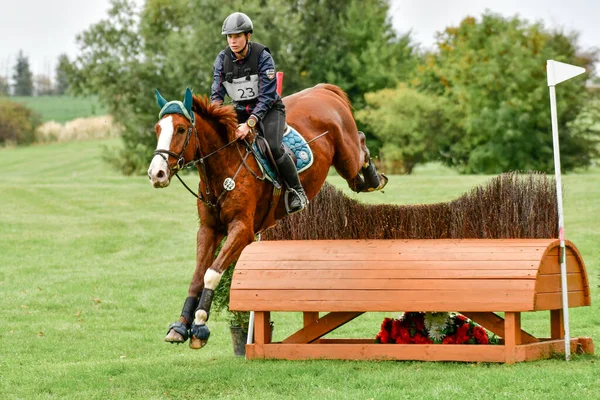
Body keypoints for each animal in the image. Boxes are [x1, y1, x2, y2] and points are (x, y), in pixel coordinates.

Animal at [148, 85, 386, 350]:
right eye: (158, 129)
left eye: (181, 129)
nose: (156, 174)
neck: (224, 165)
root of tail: (323, 90)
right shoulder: (208, 229)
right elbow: (198, 275)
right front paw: (180, 327)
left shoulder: (242, 230)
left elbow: (212, 273)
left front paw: (199, 326)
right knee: (356, 174)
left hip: (347, 159)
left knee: (361, 146)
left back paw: (375, 179)